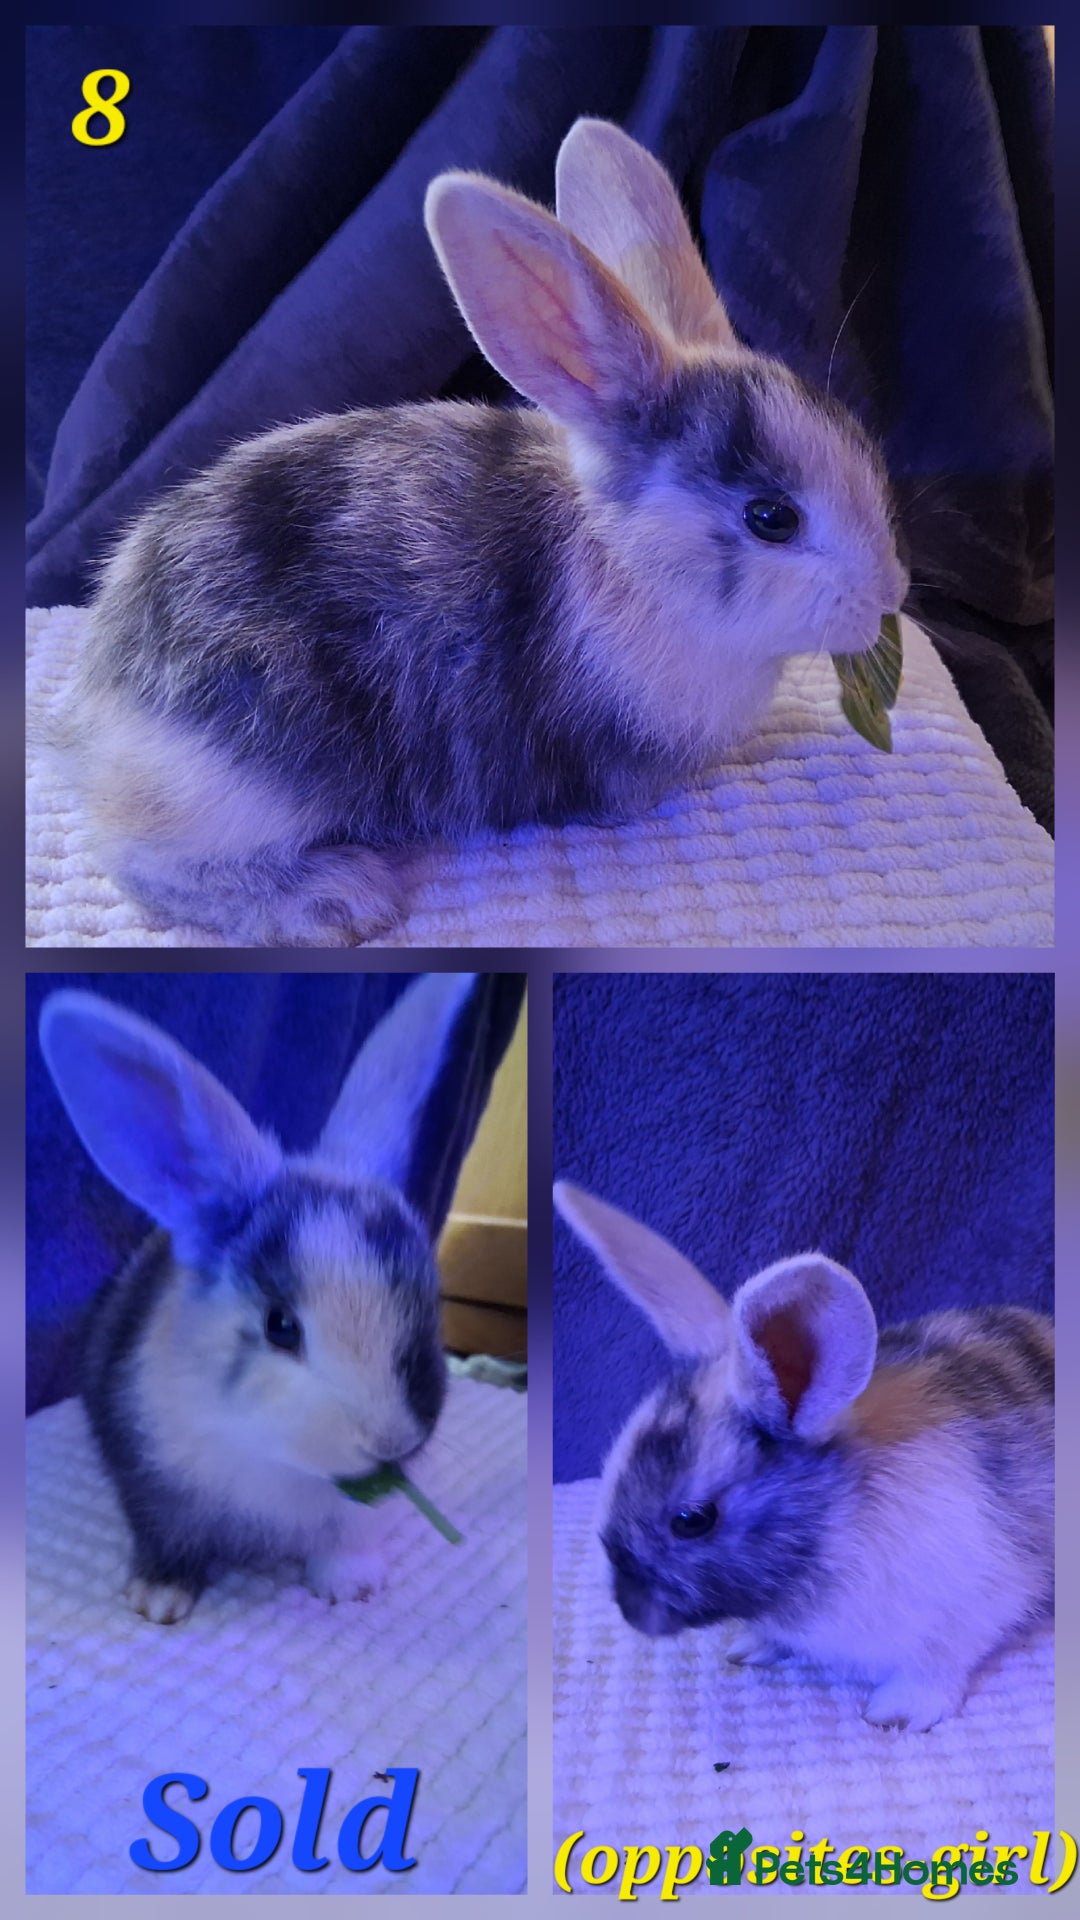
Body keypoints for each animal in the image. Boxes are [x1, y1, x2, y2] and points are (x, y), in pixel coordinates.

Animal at [37, 972, 477, 1623]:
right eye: (280, 1326)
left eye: (430, 1304)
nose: (390, 1442)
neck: (277, 1464)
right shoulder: (155, 1484)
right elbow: (167, 1537)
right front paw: (158, 1601)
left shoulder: (352, 1515)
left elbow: (345, 1541)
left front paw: (352, 1587)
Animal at [54, 117, 908, 946]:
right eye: (772, 518)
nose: (889, 594)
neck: (634, 564)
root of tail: (99, 714)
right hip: (247, 777)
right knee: (145, 862)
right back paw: (332, 900)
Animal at [554, 1182, 1053, 1731]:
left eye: (692, 1520)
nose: (631, 1612)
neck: (840, 1520)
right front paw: (752, 1647)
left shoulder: (972, 1606)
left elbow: (936, 1666)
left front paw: (898, 1714)